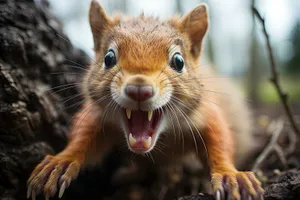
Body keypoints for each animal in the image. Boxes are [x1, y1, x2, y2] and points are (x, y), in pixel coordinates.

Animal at [27, 0, 264, 199]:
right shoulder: (96, 114)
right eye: (108, 58)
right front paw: (61, 161)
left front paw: (229, 174)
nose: (139, 89)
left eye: (179, 61)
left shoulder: (205, 112)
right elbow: (82, 136)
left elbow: (219, 139)